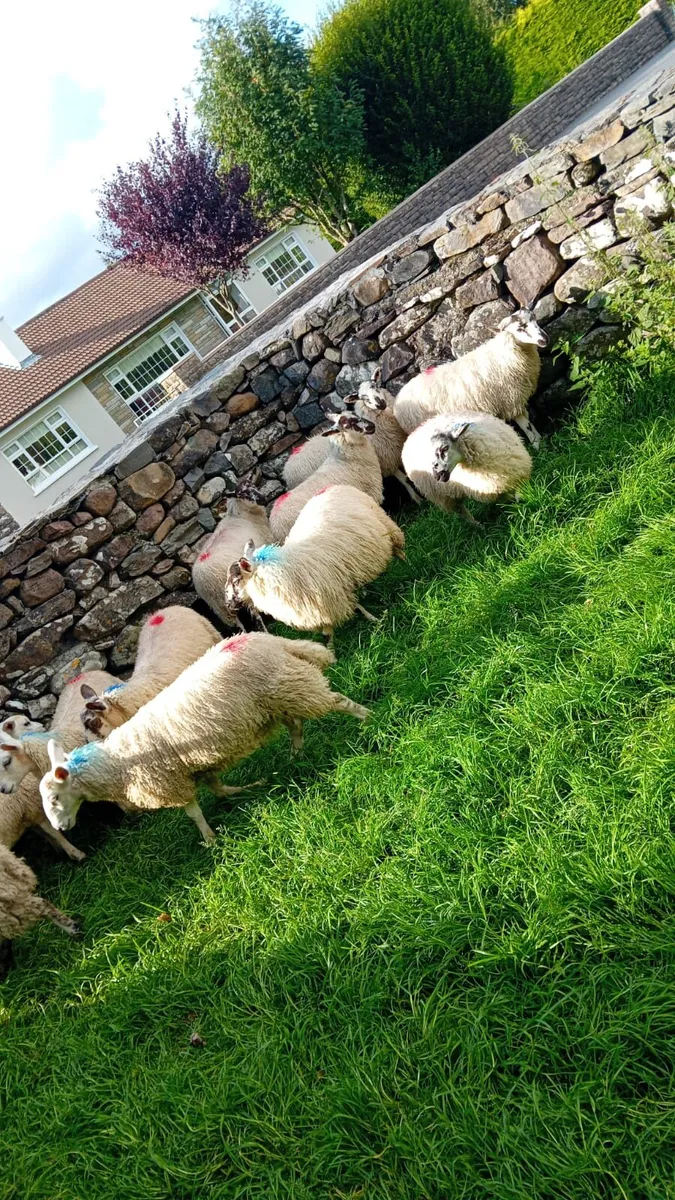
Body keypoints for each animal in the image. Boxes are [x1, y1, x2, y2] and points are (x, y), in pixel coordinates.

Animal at [39, 632, 371, 844]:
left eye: (54, 797)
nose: (61, 828)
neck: (119, 763)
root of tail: (258, 638)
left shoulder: (171, 782)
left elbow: (193, 813)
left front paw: (209, 840)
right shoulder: (197, 765)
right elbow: (218, 788)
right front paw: (244, 790)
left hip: (289, 685)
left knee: (336, 701)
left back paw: (368, 718)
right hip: (275, 698)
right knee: (296, 725)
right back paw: (296, 756)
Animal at [192, 482, 272, 629]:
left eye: (253, 485)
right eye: (242, 494)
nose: (263, 499)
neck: (242, 515)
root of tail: (205, 582)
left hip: (221, 607)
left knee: (238, 624)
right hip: (241, 589)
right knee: (255, 615)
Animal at [226, 484, 405, 644]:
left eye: (236, 581)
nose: (228, 604)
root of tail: (328, 488)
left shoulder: (331, 593)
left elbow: (351, 612)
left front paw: (374, 620)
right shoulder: (320, 607)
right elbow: (328, 631)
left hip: (388, 528)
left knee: (399, 551)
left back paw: (407, 566)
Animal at [393, 309, 548, 447]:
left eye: (534, 318)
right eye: (519, 328)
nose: (544, 339)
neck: (505, 353)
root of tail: (398, 400)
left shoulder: (518, 396)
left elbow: (528, 420)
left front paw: (541, 440)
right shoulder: (510, 400)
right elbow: (526, 425)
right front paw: (537, 445)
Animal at [401, 412, 532, 523]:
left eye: (445, 448)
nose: (437, 475)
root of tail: (410, 436)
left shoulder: (518, 475)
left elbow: (519, 495)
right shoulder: (494, 489)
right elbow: (509, 499)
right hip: (444, 497)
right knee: (462, 512)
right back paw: (478, 526)